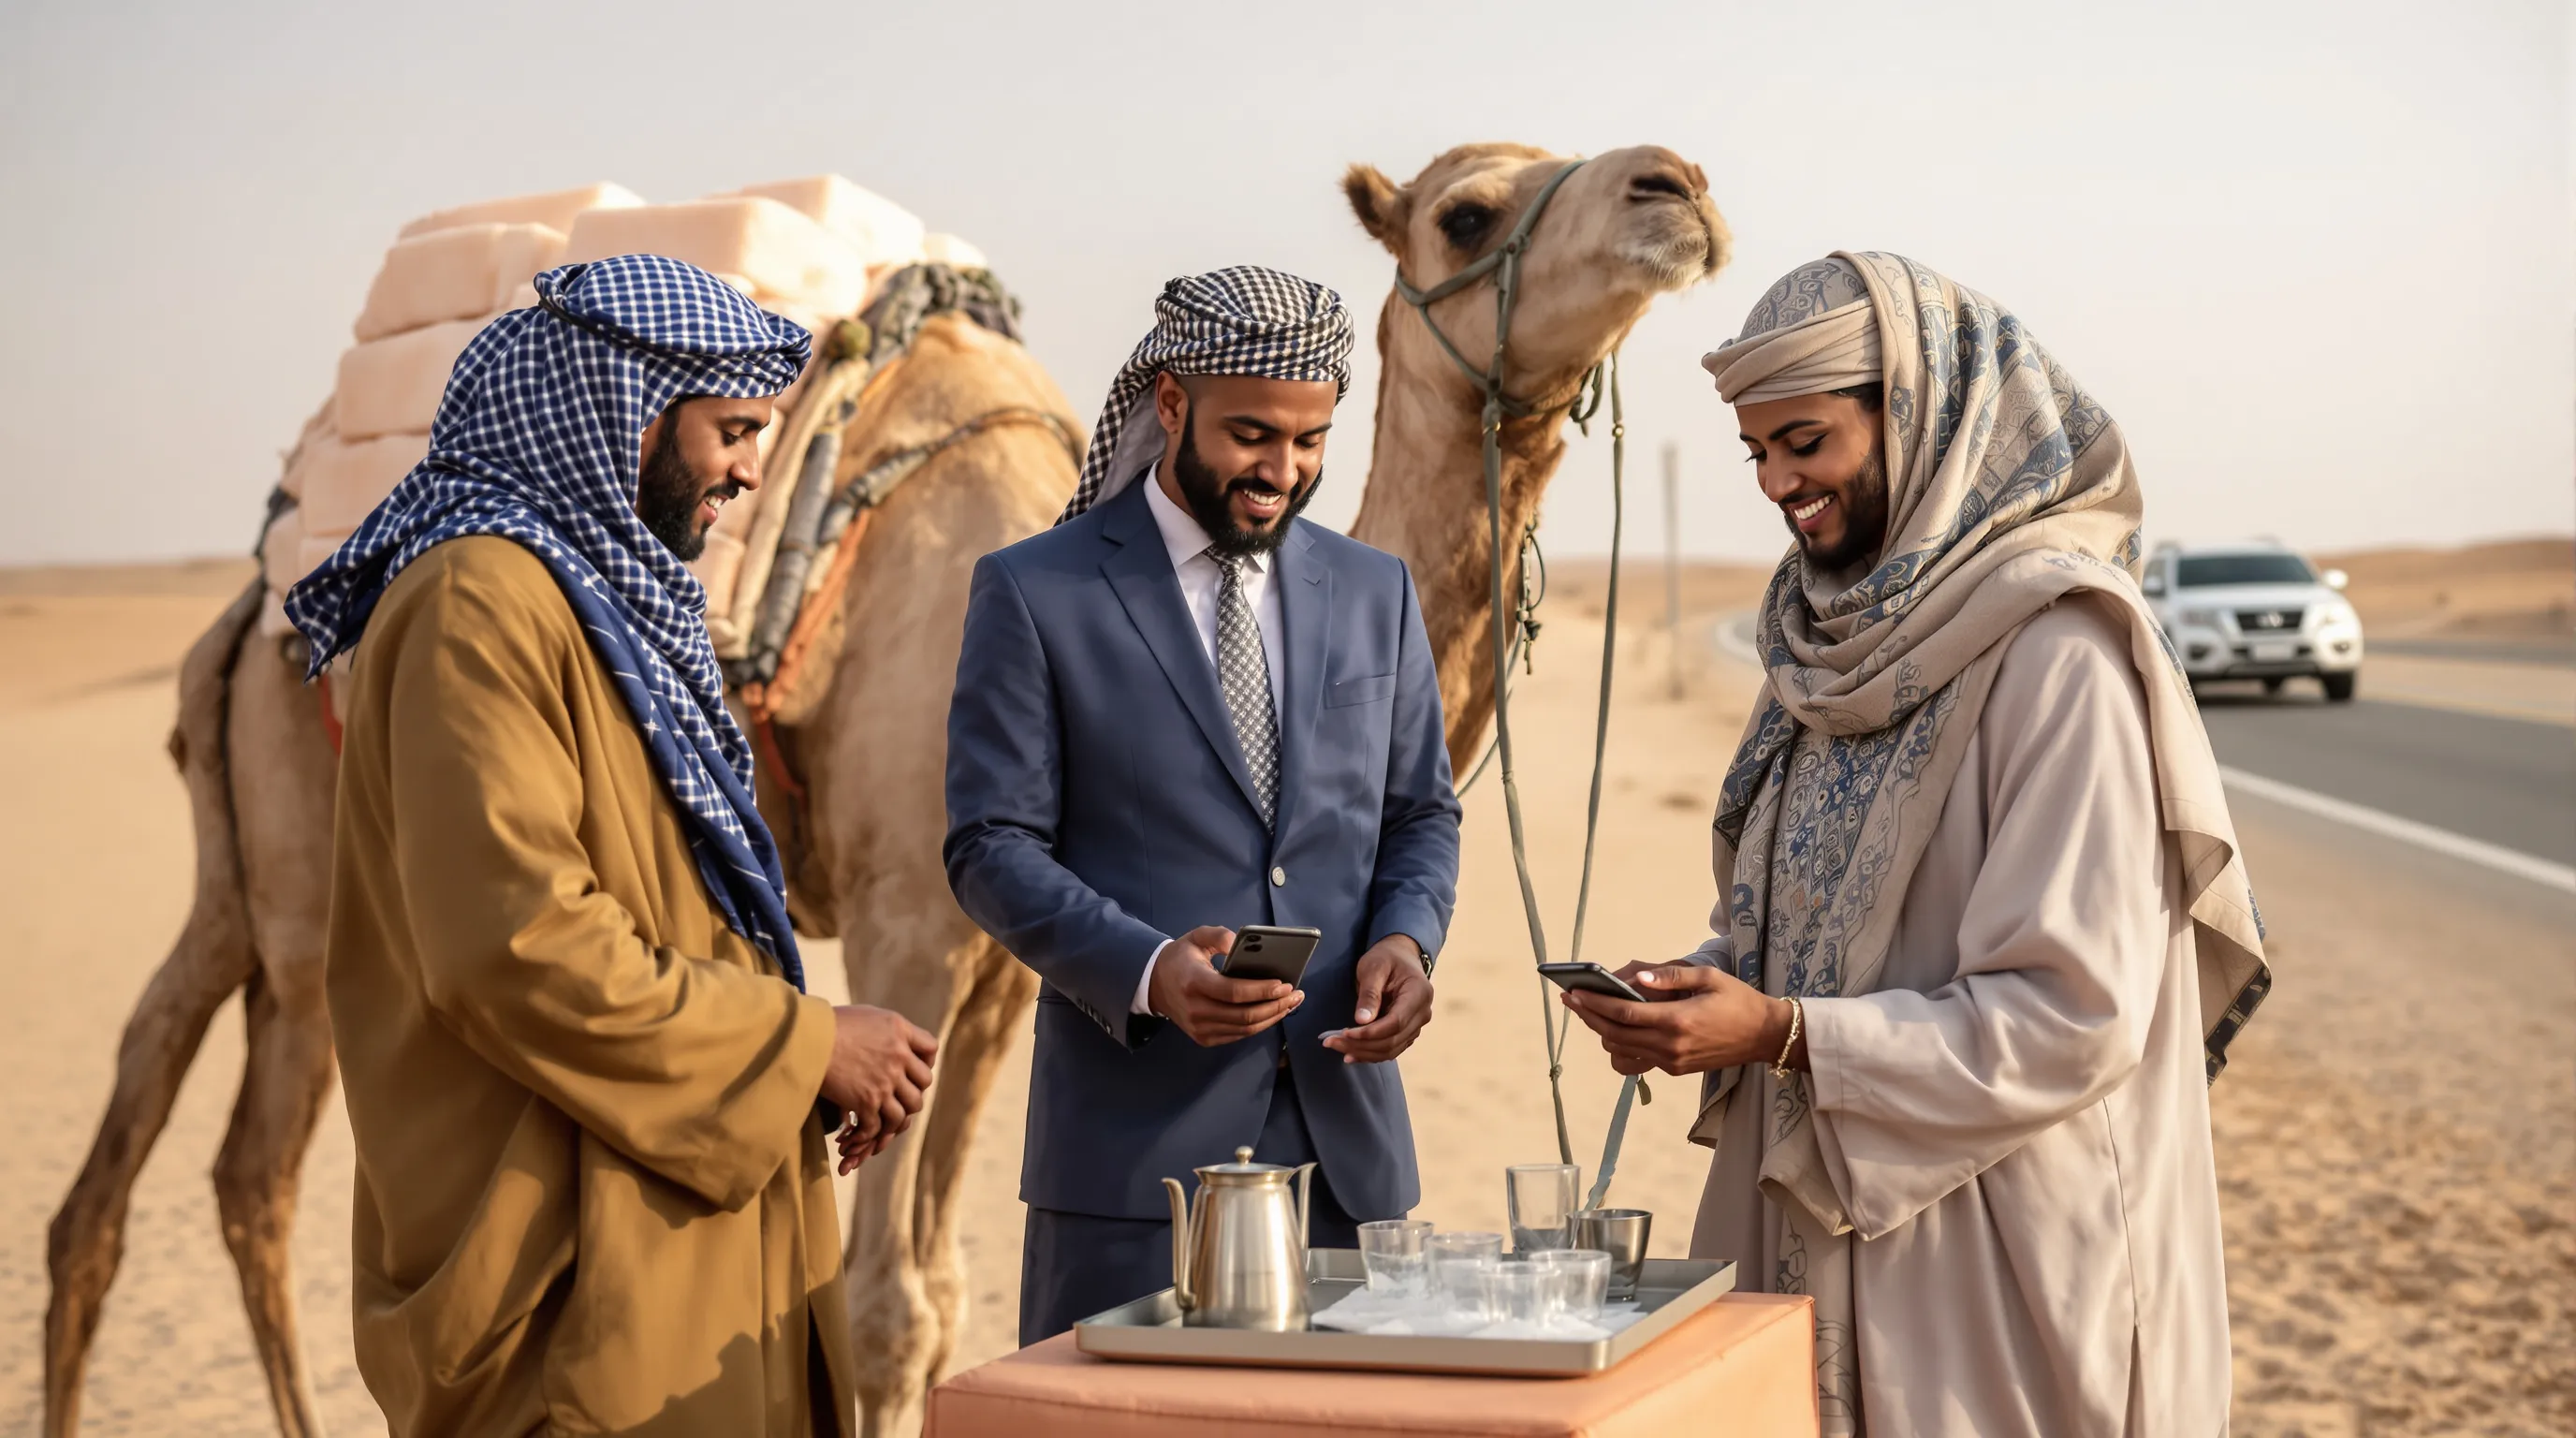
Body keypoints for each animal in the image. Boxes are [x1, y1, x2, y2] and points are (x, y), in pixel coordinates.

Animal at [43, 140, 1725, 1438]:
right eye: (1468, 211)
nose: (1682, 187)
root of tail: (244, 611)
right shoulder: (924, 913)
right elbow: (878, 1305)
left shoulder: (1009, 976)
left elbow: (948, 1287)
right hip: (311, 842)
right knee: (252, 1152)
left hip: (247, 856)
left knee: (174, 1140)